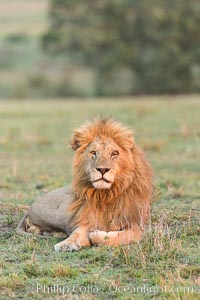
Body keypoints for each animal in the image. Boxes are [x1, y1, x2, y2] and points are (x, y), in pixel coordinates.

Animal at [16, 117, 152, 251]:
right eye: (93, 152)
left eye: (114, 153)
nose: (103, 169)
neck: (106, 195)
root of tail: (30, 208)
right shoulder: (86, 218)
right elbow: (77, 232)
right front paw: (66, 244)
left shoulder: (137, 226)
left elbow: (122, 236)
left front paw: (96, 236)